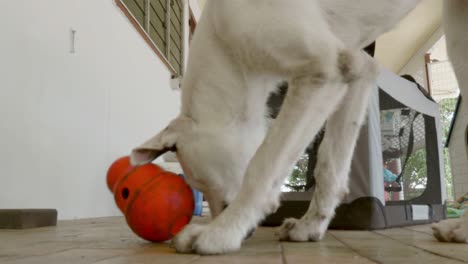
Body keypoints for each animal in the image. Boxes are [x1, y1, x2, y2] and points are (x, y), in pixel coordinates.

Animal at [131, 0, 468, 256]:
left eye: (205, 183)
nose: (248, 232)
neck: (227, 47)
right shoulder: (357, 70)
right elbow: (330, 166)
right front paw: (311, 226)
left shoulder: (323, 71)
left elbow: (263, 166)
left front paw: (223, 231)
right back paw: (458, 230)